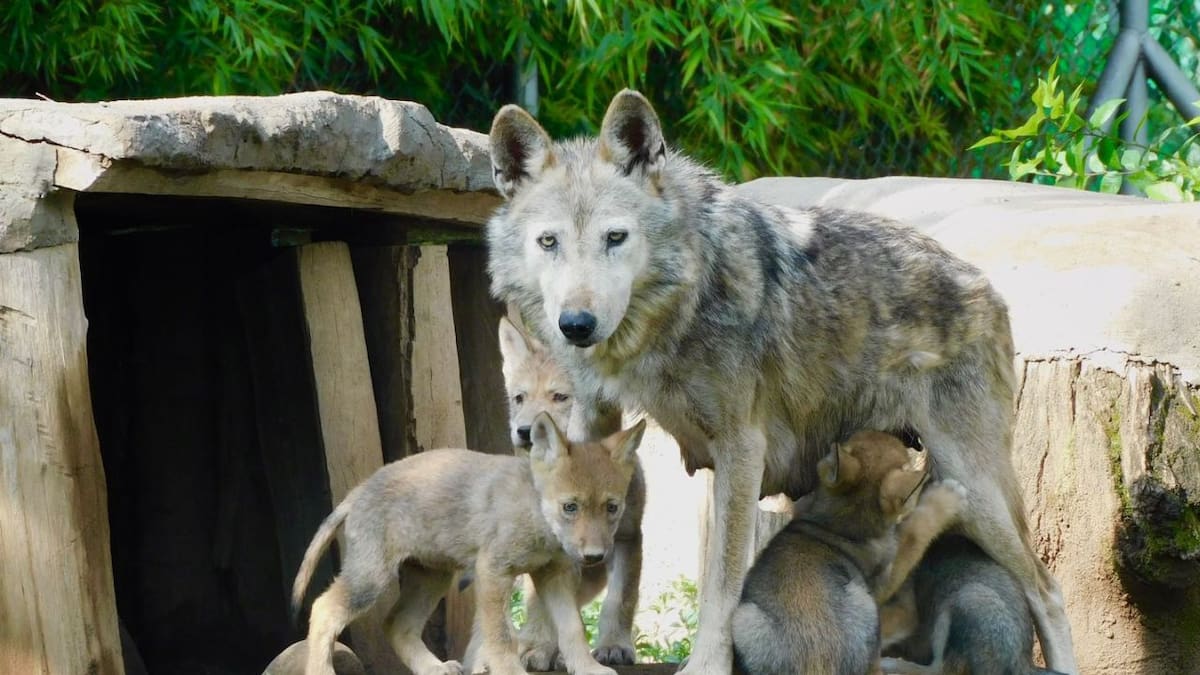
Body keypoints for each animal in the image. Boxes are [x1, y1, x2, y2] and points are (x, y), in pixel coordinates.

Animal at [291, 412, 645, 675]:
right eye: (570, 507)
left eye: (612, 508)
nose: (595, 557)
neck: (534, 514)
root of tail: (357, 491)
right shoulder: (493, 572)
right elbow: (500, 638)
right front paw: (511, 672)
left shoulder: (553, 575)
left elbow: (572, 629)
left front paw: (588, 668)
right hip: (371, 581)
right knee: (323, 609)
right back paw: (322, 670)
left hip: (431, 579)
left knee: (396, 625)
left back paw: (433, 668)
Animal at [496, 315, 646, 668]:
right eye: (519, 398)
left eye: (560, 397)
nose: (524, 431)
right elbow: (546, 610)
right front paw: (539, 649)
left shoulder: (627, 538)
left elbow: (620, 600)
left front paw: (613, 646)